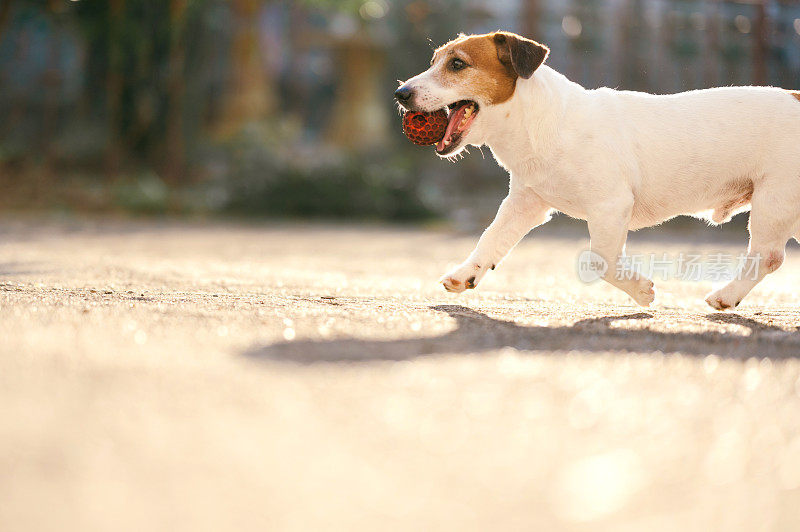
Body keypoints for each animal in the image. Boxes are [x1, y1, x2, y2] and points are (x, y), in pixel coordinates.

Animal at [394, 31, 800, 310]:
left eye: (457, 64)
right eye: (433, 60)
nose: (401, 93)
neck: (543, 123)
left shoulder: (610, 206)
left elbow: (599, 261)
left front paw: (641, 291)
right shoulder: (525, 203)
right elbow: (490, 239)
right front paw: (466, 273)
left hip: (774, 201)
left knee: (767, 257)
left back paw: (726, 295)